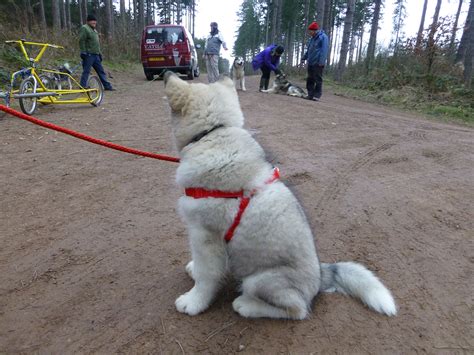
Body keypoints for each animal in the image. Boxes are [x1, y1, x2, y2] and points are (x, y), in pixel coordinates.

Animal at [163, 72, 396, 320]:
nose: (167, 74)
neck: (216, 132)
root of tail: (320, 279)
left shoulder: (204, 236)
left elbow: (205, 277)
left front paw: (193, 302)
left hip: (260, 280)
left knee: (297, 310)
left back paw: (246, 305)